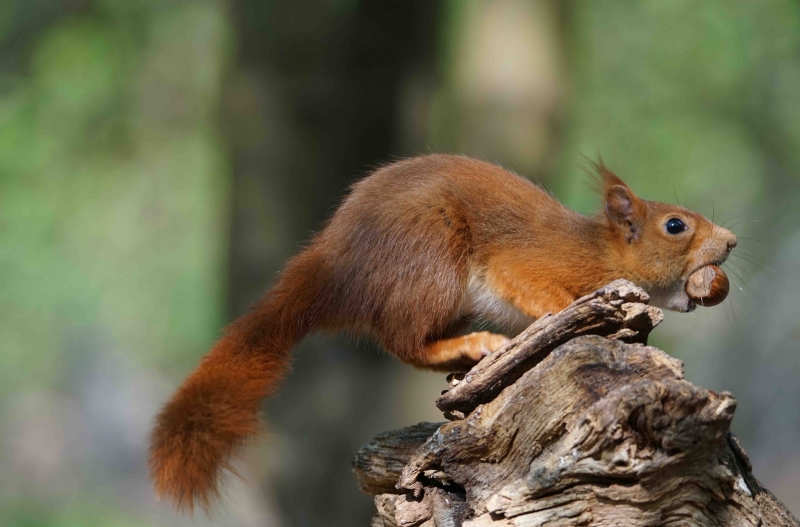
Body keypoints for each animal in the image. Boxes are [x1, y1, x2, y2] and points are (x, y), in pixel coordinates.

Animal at [148, 155, 736, 512]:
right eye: (676, 226)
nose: (731, 241)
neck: (598, 249)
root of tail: (331, 268)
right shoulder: (525, 263)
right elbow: (538, 290)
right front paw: (575, 312)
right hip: (430, 258)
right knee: (403, 341)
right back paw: (472, 347)